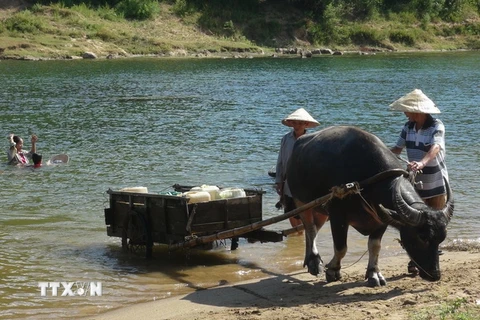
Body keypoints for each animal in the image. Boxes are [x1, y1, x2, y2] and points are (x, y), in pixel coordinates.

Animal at [288, 124, 454, 284]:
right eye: (422, 237)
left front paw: (374, 274)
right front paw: (333, 270)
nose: (435, 275)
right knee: (310, 228)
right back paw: (314, 261)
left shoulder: (381, 218)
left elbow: (375, 246)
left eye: (441, 239)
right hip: (301, 201)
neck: (368, 180)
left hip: (320, 209)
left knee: (313, 229)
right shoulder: (337, 216)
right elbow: (341, 248)